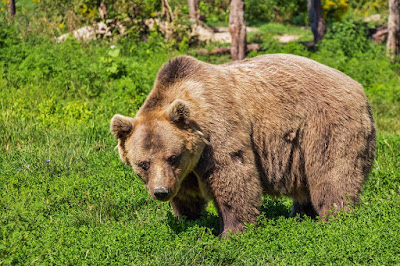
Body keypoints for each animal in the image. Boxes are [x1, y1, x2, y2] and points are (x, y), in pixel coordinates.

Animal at [109, 53, 376, 236]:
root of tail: (359, 88)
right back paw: (300, 215)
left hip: (325, 126)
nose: (160, 191)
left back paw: (334, 218)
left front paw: (231, 231)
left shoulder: (219, 131)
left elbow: (233, 177)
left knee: (332, 174)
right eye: (143, 163)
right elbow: (186, 194)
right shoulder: (185, 170)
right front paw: (190, 219)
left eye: (172, 156)